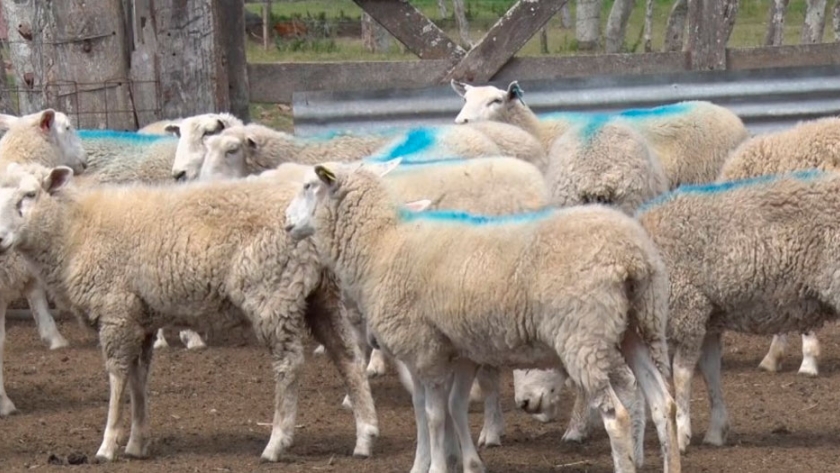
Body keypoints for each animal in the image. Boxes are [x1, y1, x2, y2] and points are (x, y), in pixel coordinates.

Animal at [0, 163, 379, 463]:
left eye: (30, 194)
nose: (0, 237)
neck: (73, 232)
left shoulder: (116, 313)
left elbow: (118, 377)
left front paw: (107, 445)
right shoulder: (140, 319)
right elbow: (138, 380)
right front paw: (137, 443)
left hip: (272, 293)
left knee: (289, 365)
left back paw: (276, 442)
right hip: (321, 295)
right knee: (347, 357)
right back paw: (365, 434)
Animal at [283, 158, 681, 473]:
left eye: (309, 186)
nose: (286, 222)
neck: (383, 244)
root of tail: (631, 255)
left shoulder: (422, 349)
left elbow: (432, 415)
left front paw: (436, 467)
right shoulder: (456, 351)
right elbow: (447, 408)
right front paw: (457, 462)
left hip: (584, 336)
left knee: (617, 416)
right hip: (640, 326)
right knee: (663, 404)